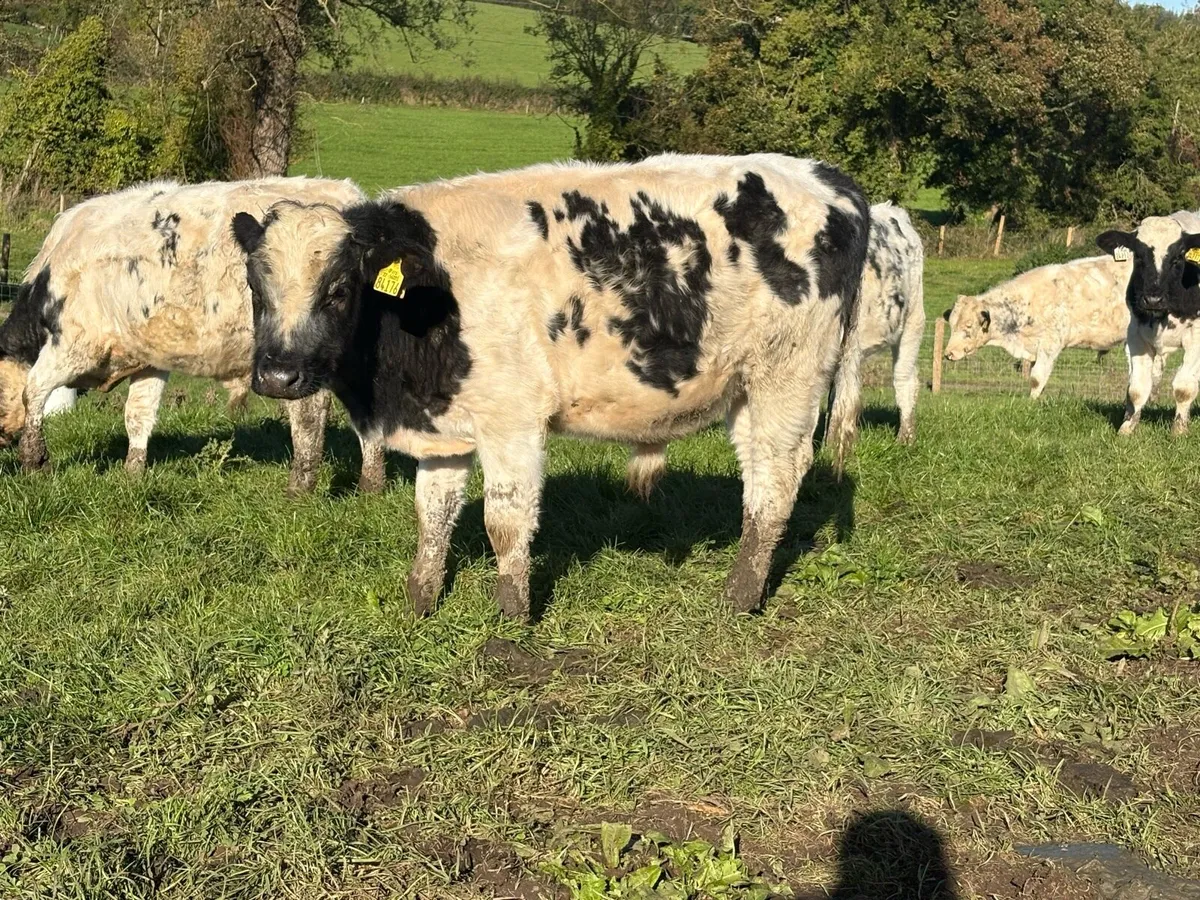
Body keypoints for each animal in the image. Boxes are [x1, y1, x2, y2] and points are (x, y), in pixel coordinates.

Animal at [0, 177, 388, 495]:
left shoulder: (73, 344)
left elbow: (33, 391)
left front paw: (35, 462)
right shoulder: (149, 359)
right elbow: (138, 416)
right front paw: (132, 474)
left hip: (295, 355)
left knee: (308, 413)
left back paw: (301, 487)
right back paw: (370, 485)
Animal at [231, 153, 870, 621]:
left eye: (339, 289)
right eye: (255, 288)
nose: (278, 374)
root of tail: (828, 178)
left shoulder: (511, 420)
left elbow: (505, 520)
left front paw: (511, 616)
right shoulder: (444, 424)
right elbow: (432, 513)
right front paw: (420, 600)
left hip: (787, 377)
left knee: (777, 478)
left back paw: (740, 595)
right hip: (743, 386)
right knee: (760, 475)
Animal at [942, 255, 1134, 398]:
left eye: (968, 325)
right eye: (951, 323)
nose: (948, 353)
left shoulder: (1050, 345)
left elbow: (1036, 378)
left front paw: (1032, 402)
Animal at [1096, 210, 1200, 435]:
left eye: (1179, 257)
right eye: (1138, 255)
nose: (1153, 299)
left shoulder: (1197, 336)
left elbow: (1184, 387)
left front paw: (1179, 430)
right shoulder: (1136, 333)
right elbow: (1137, 388)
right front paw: (1127, 428)